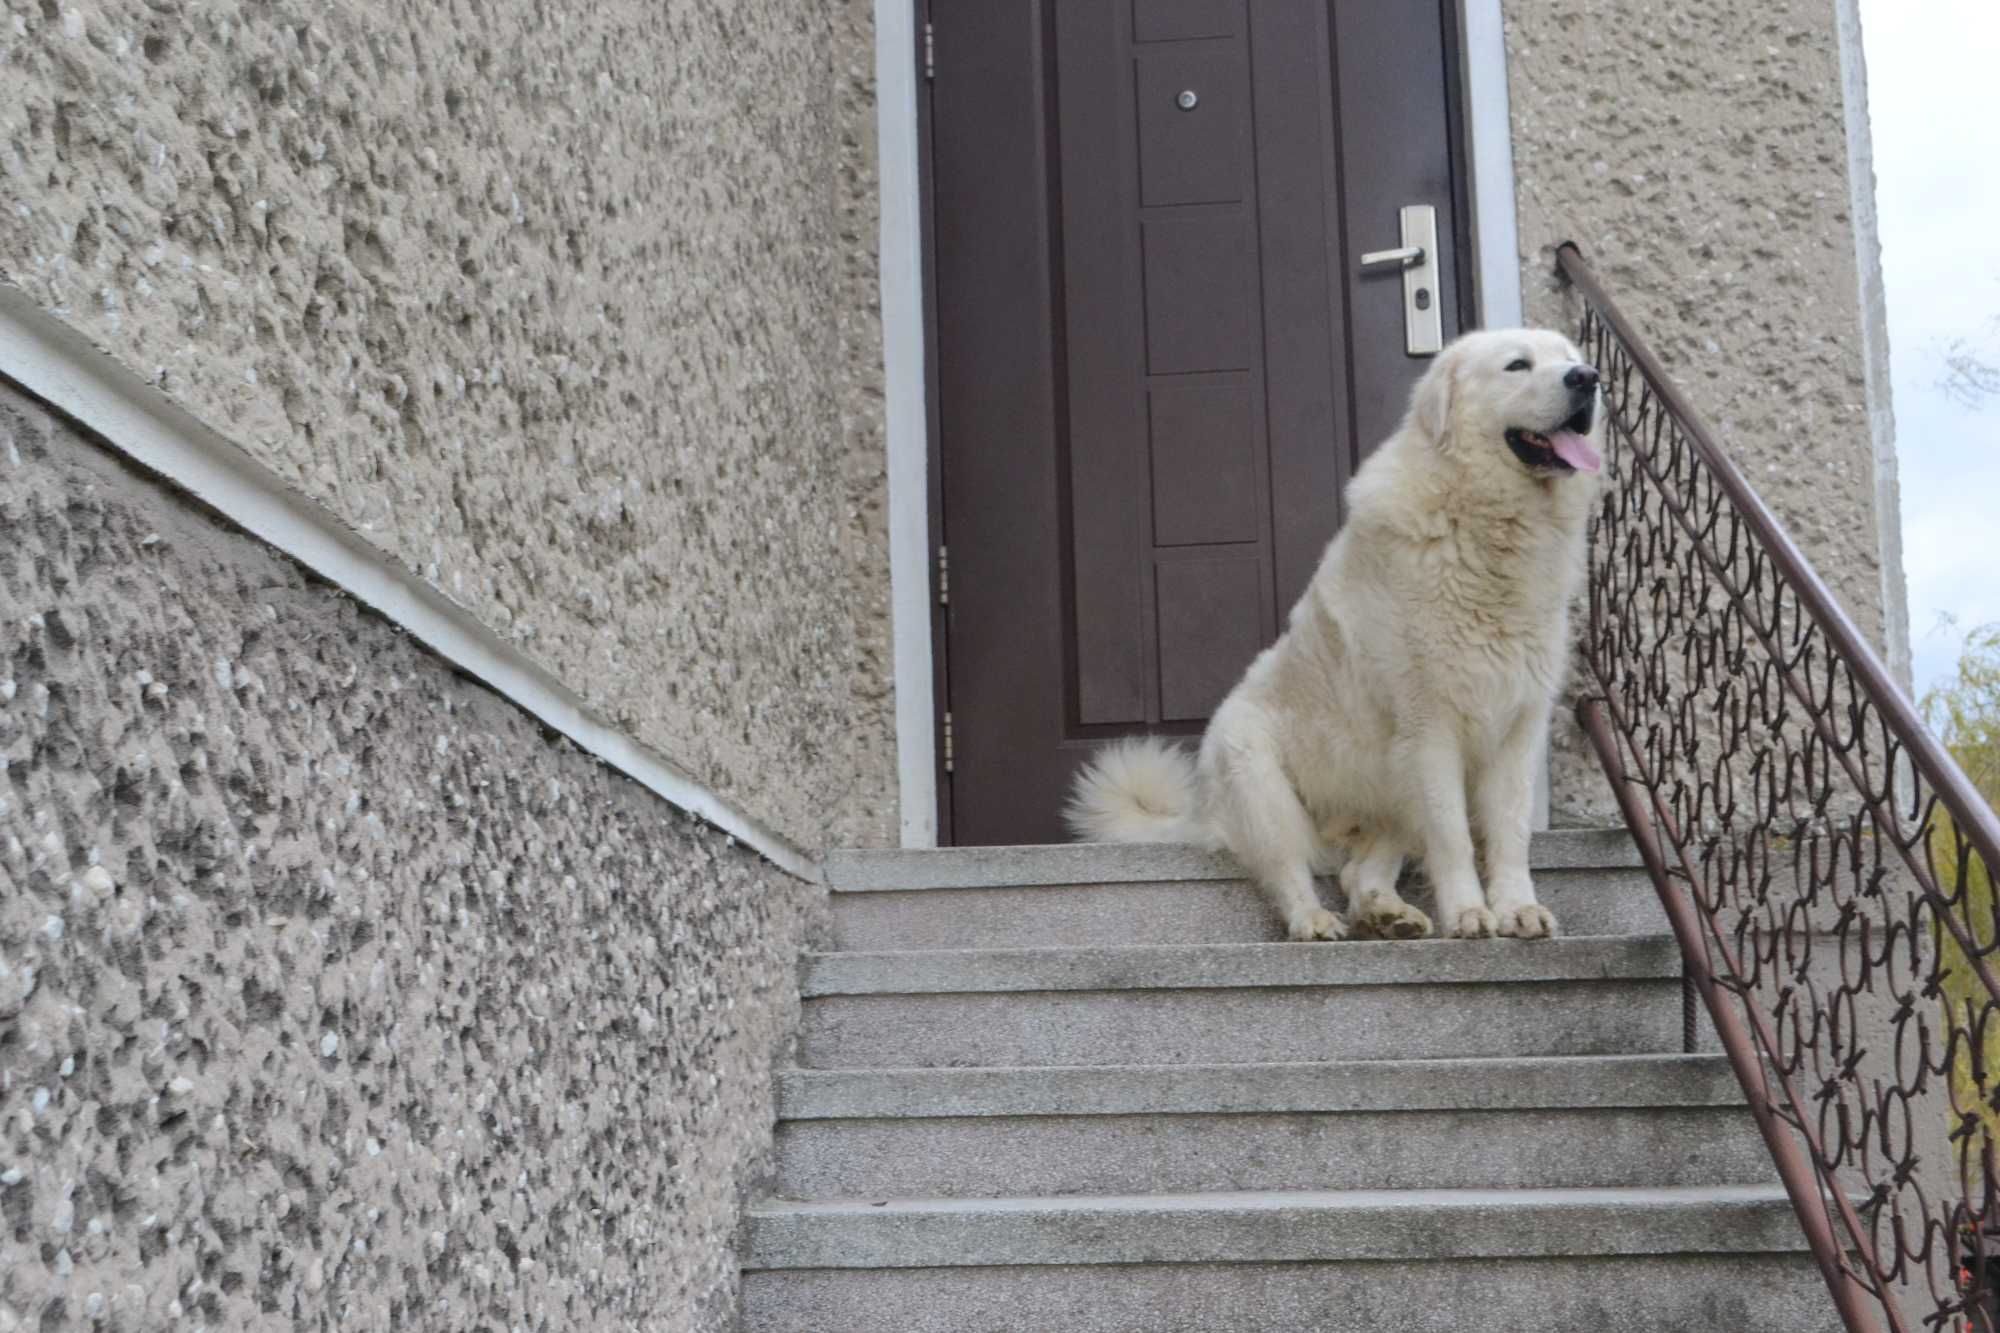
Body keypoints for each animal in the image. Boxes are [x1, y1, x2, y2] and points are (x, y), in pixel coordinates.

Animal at [1064, 326, 1608, 940]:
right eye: (1518, 366)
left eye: (1570, 359)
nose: (1587, 378)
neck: (1488, 525)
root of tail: (1201, 811)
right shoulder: (1430, 729)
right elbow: (1453, 838)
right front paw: (1469, 913)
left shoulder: (1517, 728)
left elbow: (1510, 835)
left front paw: (1517, 909)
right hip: (1262, 784)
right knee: (1289, 872)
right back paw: (1316, 922)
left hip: (1389, 791)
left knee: (1357, 873)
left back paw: (1387, 914)